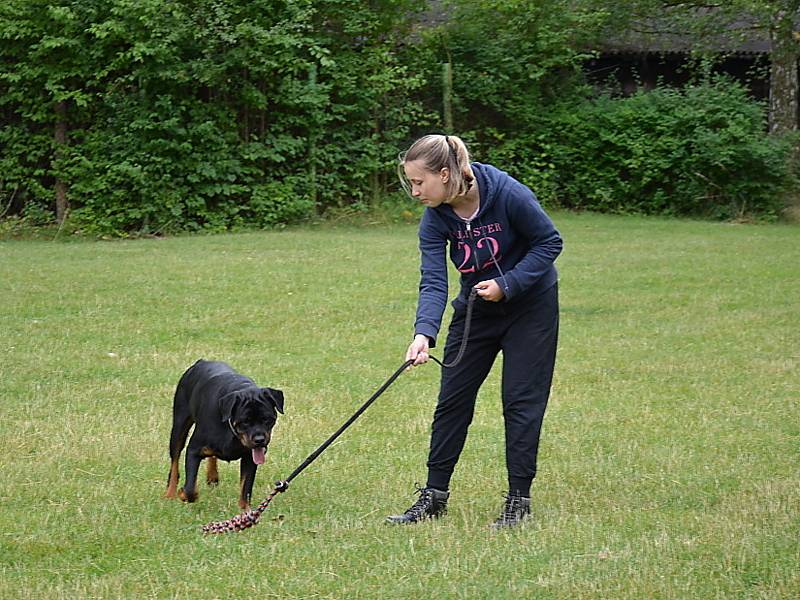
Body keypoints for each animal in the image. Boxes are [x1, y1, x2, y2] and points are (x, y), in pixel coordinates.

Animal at [165, 358, 284, 508]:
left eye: (268, 419)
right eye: (245, 421)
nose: (259, 439)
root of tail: (201, 362)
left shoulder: (249, 457)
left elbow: (246, 489)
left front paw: (246, 512)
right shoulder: (193, 449)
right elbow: (190, 489)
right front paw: (182, 493)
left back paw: (212, 475)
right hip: (179, 426)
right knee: (174, 462)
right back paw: (170, 493)